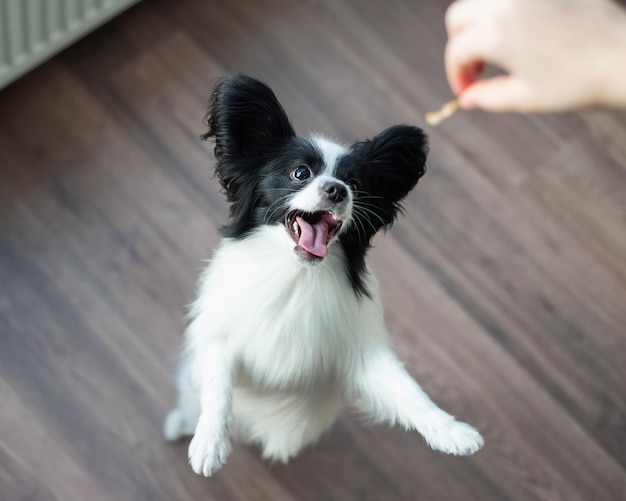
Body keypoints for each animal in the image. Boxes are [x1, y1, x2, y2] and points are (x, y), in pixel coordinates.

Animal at [162, 73, 482, 472]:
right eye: (300, 173)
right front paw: (209, 443)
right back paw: (181, 423)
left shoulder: (359, 354)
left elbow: (407, 391)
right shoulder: (220, 336)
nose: (337, 189)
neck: (297, 275)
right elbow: (218, 384)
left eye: (355, 185)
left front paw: (451, 431)